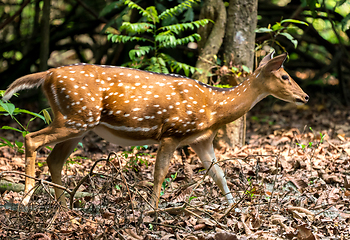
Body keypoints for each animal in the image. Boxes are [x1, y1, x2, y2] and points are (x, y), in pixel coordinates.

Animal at [2, 51, 308, 208]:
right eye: (285, 76)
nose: (305, 97)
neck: (213, 107)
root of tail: (47, 75)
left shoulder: (200, 139)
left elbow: (219, 174)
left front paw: (234, 207)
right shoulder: (172, 132)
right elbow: (160, 173)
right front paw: (153, 210)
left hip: (78, 123)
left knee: (54, 159)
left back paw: (66, 208)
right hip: (76, 116)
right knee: (30, 139)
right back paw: (26, 198)